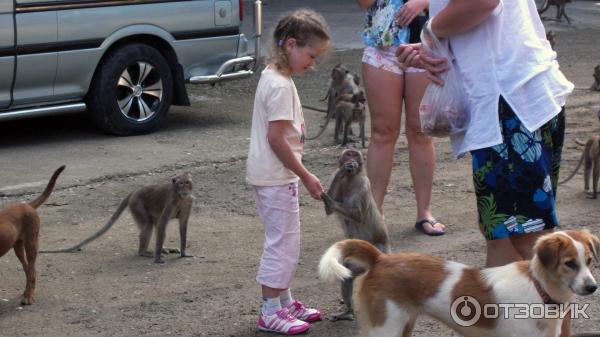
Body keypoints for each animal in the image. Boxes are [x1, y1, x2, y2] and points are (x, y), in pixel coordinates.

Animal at [0, 165, 65, 304]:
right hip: (18, 246)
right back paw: (26, 293)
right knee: (27, 269)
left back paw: (29, 296)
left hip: (31, 243)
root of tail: (28, 205)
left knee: (31, 271)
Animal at [41, 172, 195, 262]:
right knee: (148, 225)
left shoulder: (189, 202)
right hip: (137, 205)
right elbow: (163, 223)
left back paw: (161, 248)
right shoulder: (170, 202)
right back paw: (143, 252)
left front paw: (183, 253)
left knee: (156, 226)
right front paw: (157, 258)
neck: (181, 198)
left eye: (187, 182)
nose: (185, 189)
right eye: (181, 183)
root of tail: (134, 191)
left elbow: (183, 225)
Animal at [318, 148, 390, 318]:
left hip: (375, 253)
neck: (350, 180)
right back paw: (347, 311)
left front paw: (330, 201)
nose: (351, 161)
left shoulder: (363, 184)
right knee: (347, 275)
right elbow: (329, 209)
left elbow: (357, 215)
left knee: (350, 272)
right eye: (348, 154)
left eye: (355, 155)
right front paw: (341, 171)